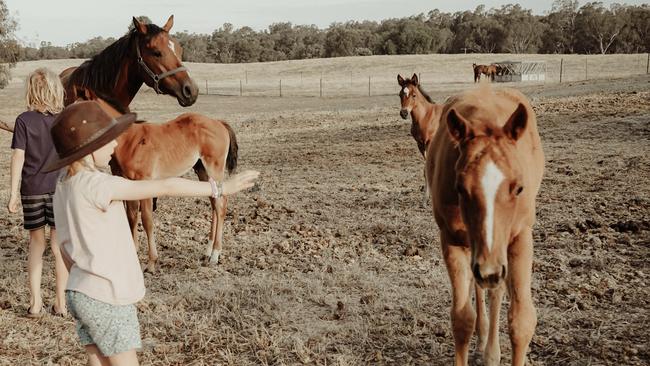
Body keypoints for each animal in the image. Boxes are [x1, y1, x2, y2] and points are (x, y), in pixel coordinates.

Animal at [422, 85, 544, 364]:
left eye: (519, 188)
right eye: (459, 188)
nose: (490, 271)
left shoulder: (520, 237)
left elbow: (522, 321)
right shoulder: (453, 240)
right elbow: (462, 319)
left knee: (495, 291)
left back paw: (491, 351)